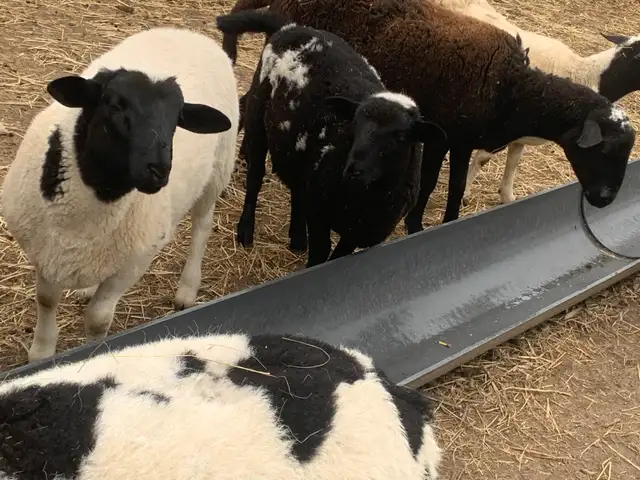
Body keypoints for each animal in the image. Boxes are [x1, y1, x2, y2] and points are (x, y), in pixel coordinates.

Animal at [0, 27, 239, 363]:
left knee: (202, 227)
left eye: (177, 118)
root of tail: (187, 32)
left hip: (218, 170)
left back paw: (187, 289)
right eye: (114, 105)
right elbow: (46, 300)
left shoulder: (134, 262)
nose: (159, 170)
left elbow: (98, 319)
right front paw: (42, 354)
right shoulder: (45, 252)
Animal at [216, 10, 447, 267]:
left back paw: (298, 238)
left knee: (297, 186)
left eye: (402, 136)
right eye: (354, 123)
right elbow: (321, 254)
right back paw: (246, 231)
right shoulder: (320, 214)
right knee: (256, 176)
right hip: (258, 115)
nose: (353, 170)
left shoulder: (355, 231)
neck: (367, 197)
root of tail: (292, 27)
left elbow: (339, 256)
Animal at [220, 0, 636, 234]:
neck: (511, 89)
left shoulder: (453, 139)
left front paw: (430, 223)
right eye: (604, 149)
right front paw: (422, 225)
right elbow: (442, 186)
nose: (605, 200)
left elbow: (446, 184)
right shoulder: (451, 135)